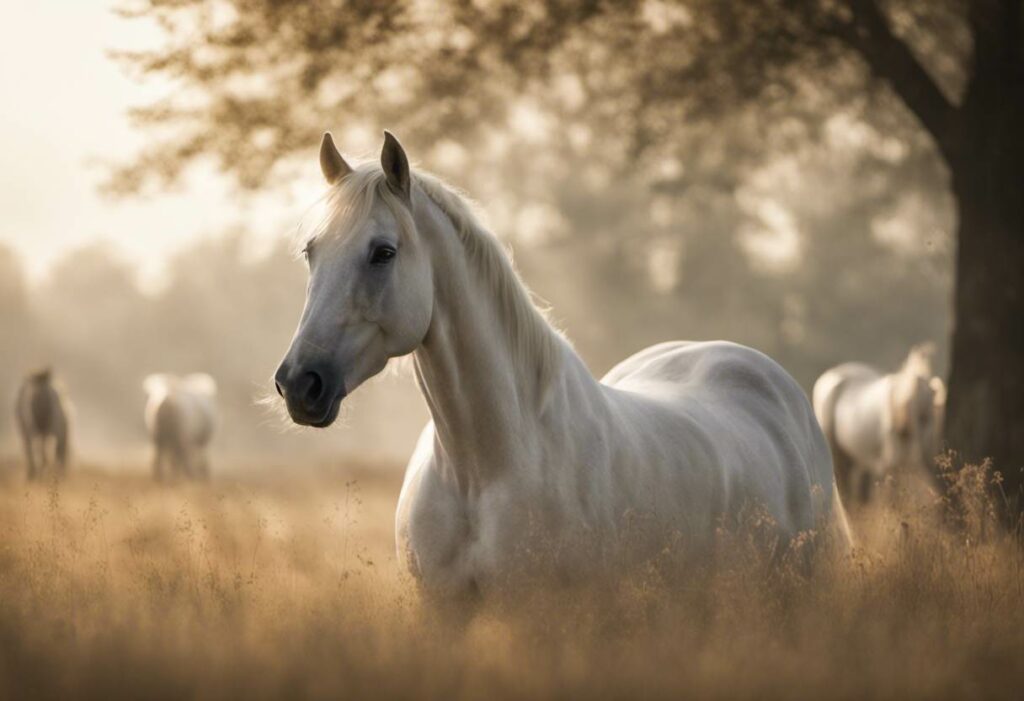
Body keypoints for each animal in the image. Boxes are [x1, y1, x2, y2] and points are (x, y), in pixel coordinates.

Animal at [811, 345, 946, 505]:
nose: (916, 456)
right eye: (907, 407)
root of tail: (829, 375)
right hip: (838, 455)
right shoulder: (889, 468)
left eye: (926, 417)